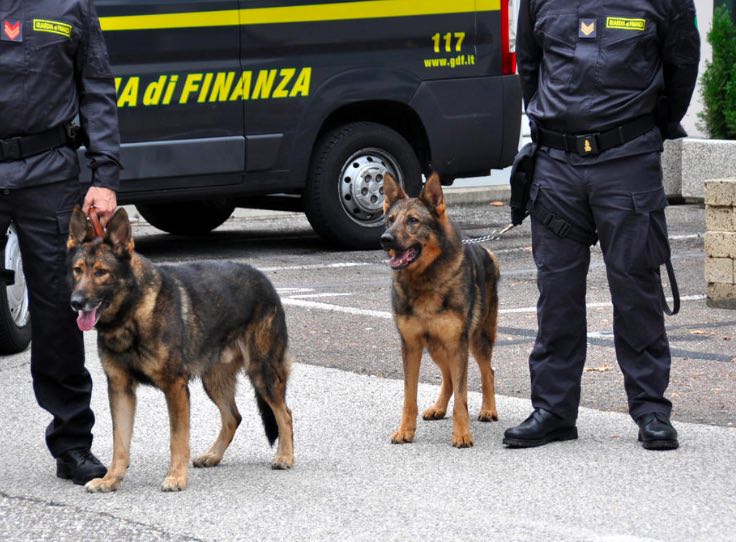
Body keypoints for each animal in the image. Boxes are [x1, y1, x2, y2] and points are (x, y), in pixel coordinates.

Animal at [64, 207, 292, 492]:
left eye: (101, 272)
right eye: (77, 270)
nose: (76, 302)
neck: (131, 313)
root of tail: (263, 279)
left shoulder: (174, 388)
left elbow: (177, 439)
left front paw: (176, 477)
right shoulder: (120, 389)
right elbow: (120, 442)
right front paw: (111, 479)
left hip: (263, 374)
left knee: (284, 413)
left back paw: (285, 456)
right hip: (213, 380)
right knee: (233, 417)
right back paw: (213, 455)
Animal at [380, 174, 500, 450]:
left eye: (413, 220)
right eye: (391, 220)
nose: (385, 239)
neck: (424, 280)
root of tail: (486, 251)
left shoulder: (457, 344)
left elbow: (462, 398)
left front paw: (462, 433)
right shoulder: (412, 345)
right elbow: (409, 396)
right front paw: (406, 430)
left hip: (476, 341)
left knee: (486, 371)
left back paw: (488, 409)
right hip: (436, 346)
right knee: (447, 378)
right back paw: (439, 407)